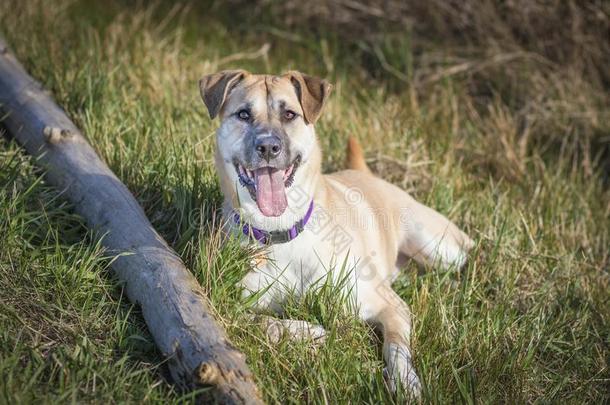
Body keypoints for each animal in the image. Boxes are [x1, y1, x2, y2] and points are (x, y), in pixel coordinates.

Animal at [197, 70, 472, 394]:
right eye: (243, 114)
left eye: (289, 114)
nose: (268, 147)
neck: (282, 231)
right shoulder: (224, 302)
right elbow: (256, 322)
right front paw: (308, 332)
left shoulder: (390, 305)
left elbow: (396, 347)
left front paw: (406, 383)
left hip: (435, 244)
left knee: (467, 255)